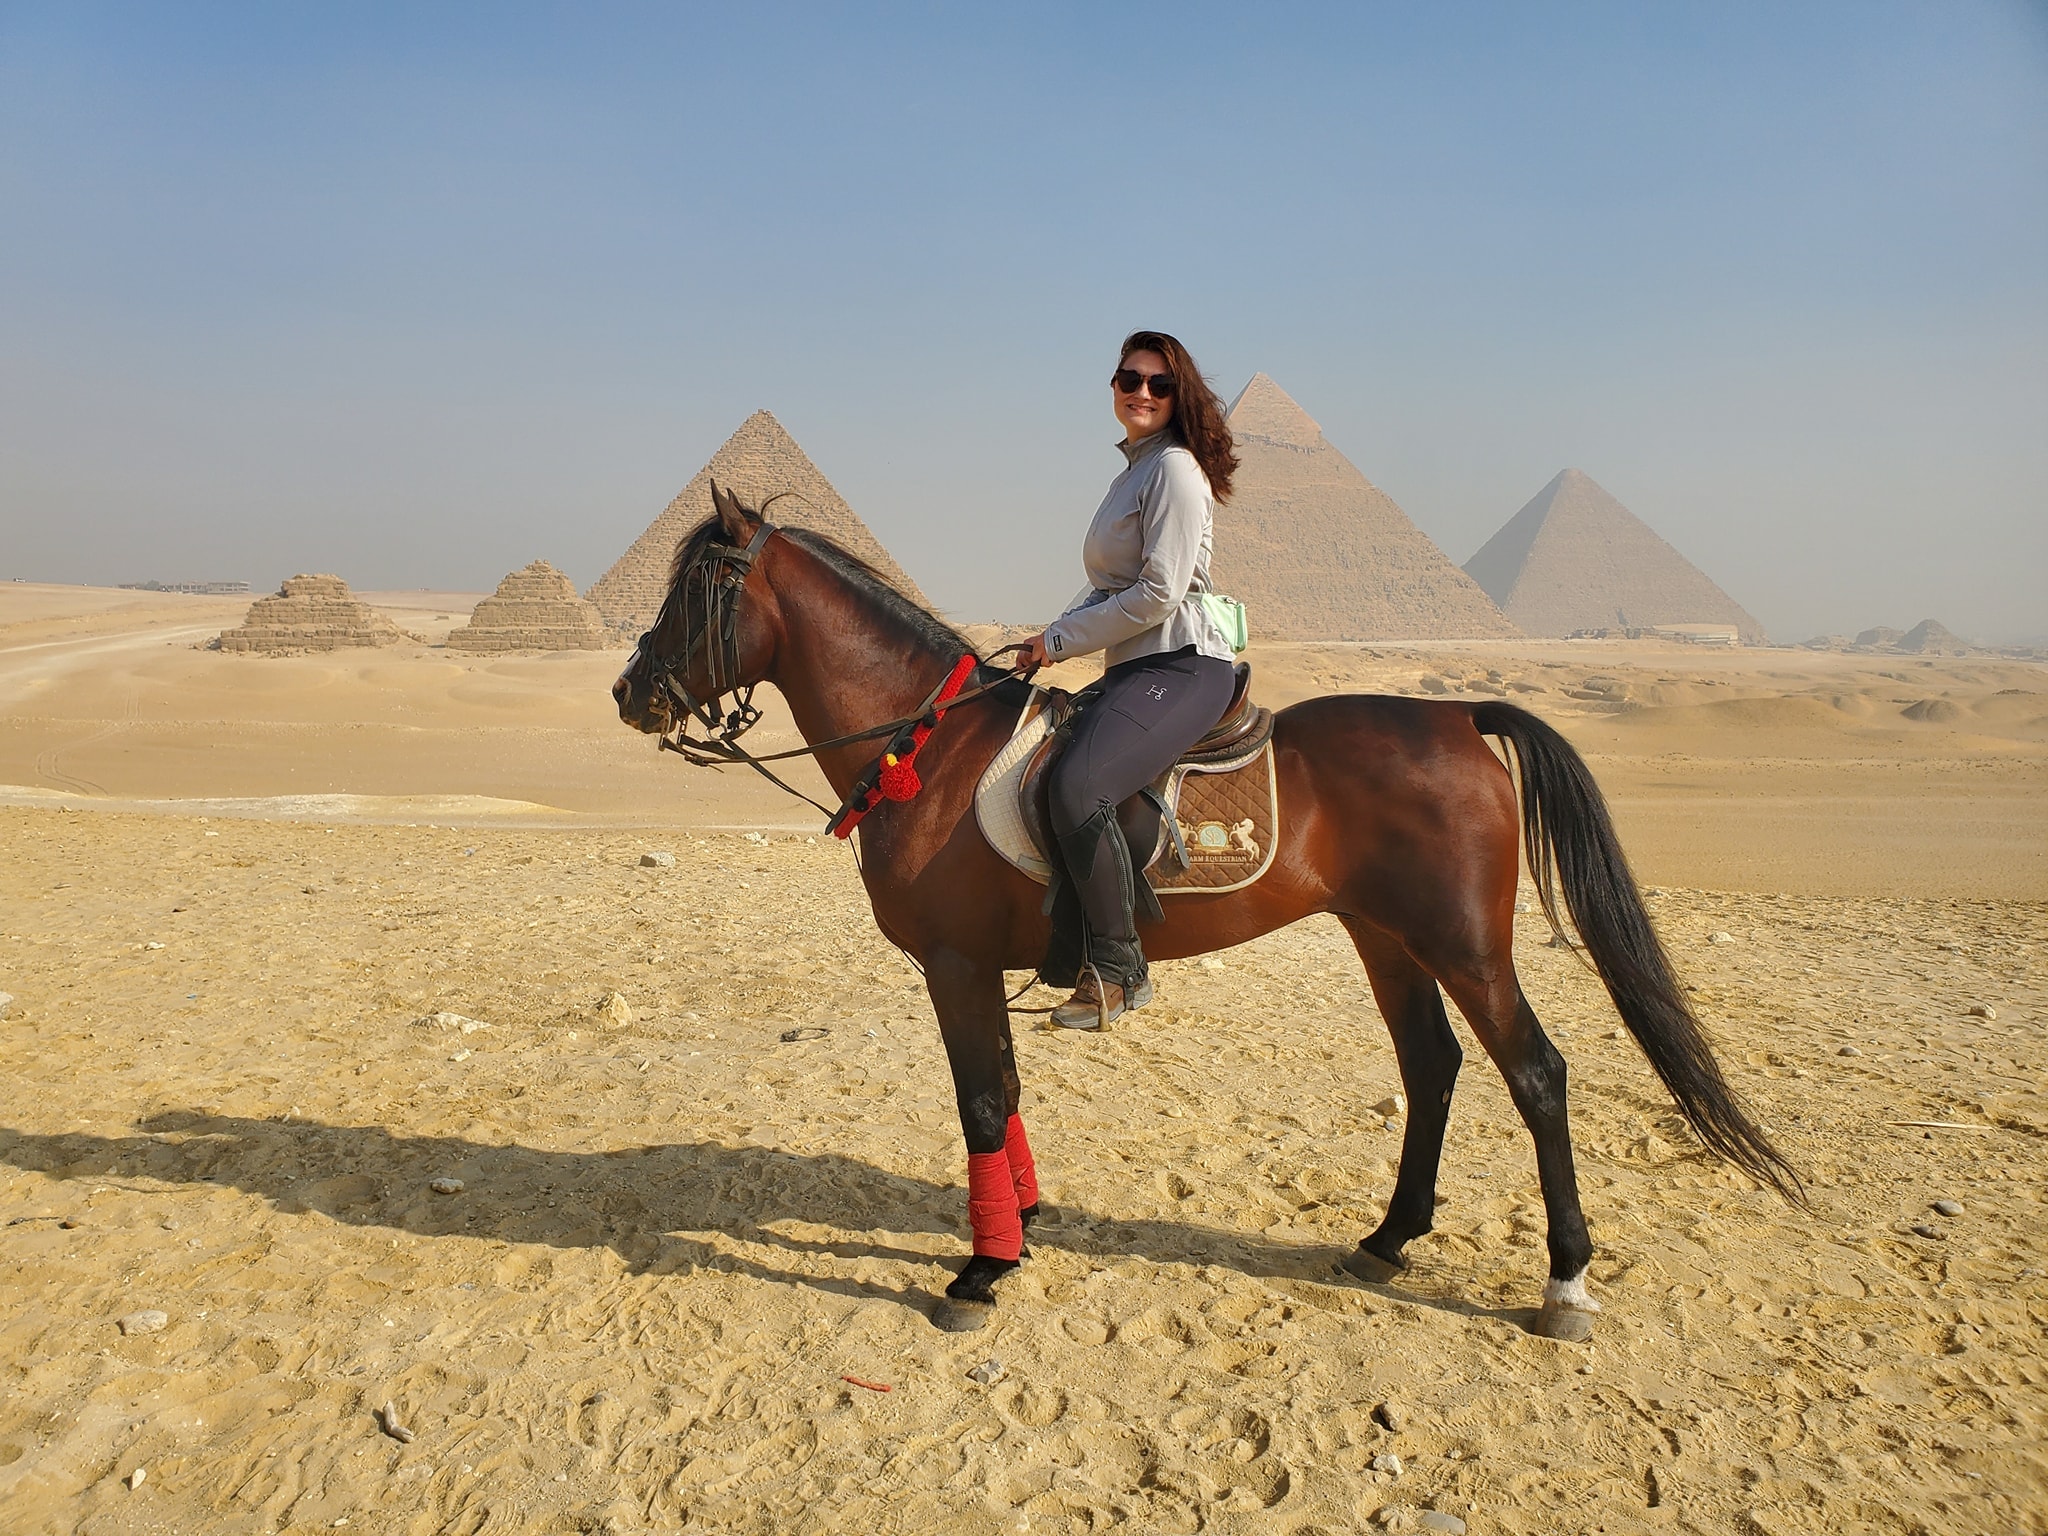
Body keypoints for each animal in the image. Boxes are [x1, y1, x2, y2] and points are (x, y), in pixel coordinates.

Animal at [606, 487, 1794, 1343]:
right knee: (1433, 1067)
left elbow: (981, 1103)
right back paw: (1388, 1238)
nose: (628, 694)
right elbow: (1006, 1093)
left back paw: (1564, 1285)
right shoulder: (982, 967)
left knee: (1536, 1074)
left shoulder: (952, 962)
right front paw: (1022, 1225)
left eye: (697, 585)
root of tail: (1458, 714)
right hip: (1385, 937)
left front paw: (982, 1269)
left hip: (1464, 943)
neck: (925, 748)